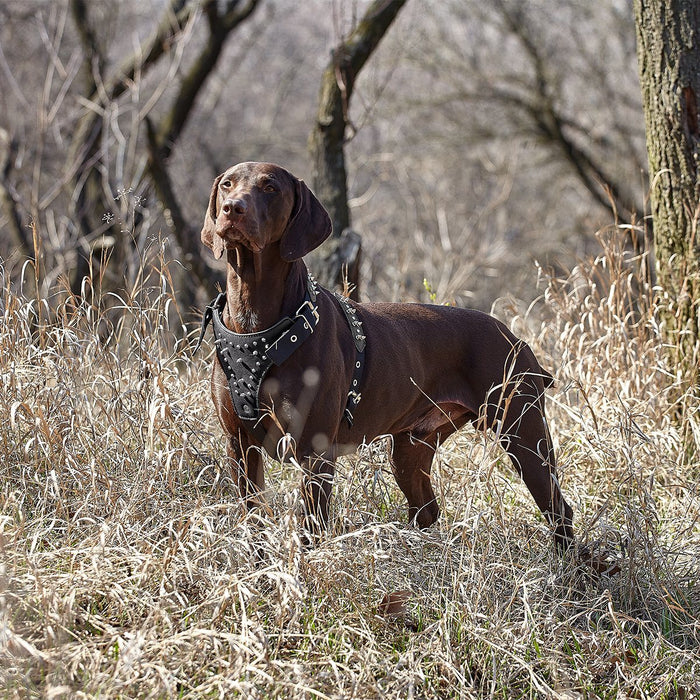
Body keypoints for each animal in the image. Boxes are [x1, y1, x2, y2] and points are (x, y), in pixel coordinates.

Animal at [198, 160, 576, 552]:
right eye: (227, 184)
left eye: (270, 187)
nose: (233, 209)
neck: (255, 323)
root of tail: (516, 338)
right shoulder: (240, 445)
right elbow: (252, 519)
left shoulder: (314, 450)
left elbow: (310, 527)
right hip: (411, 448)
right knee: (426, 509)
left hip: (523, 433)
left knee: (558, 508)